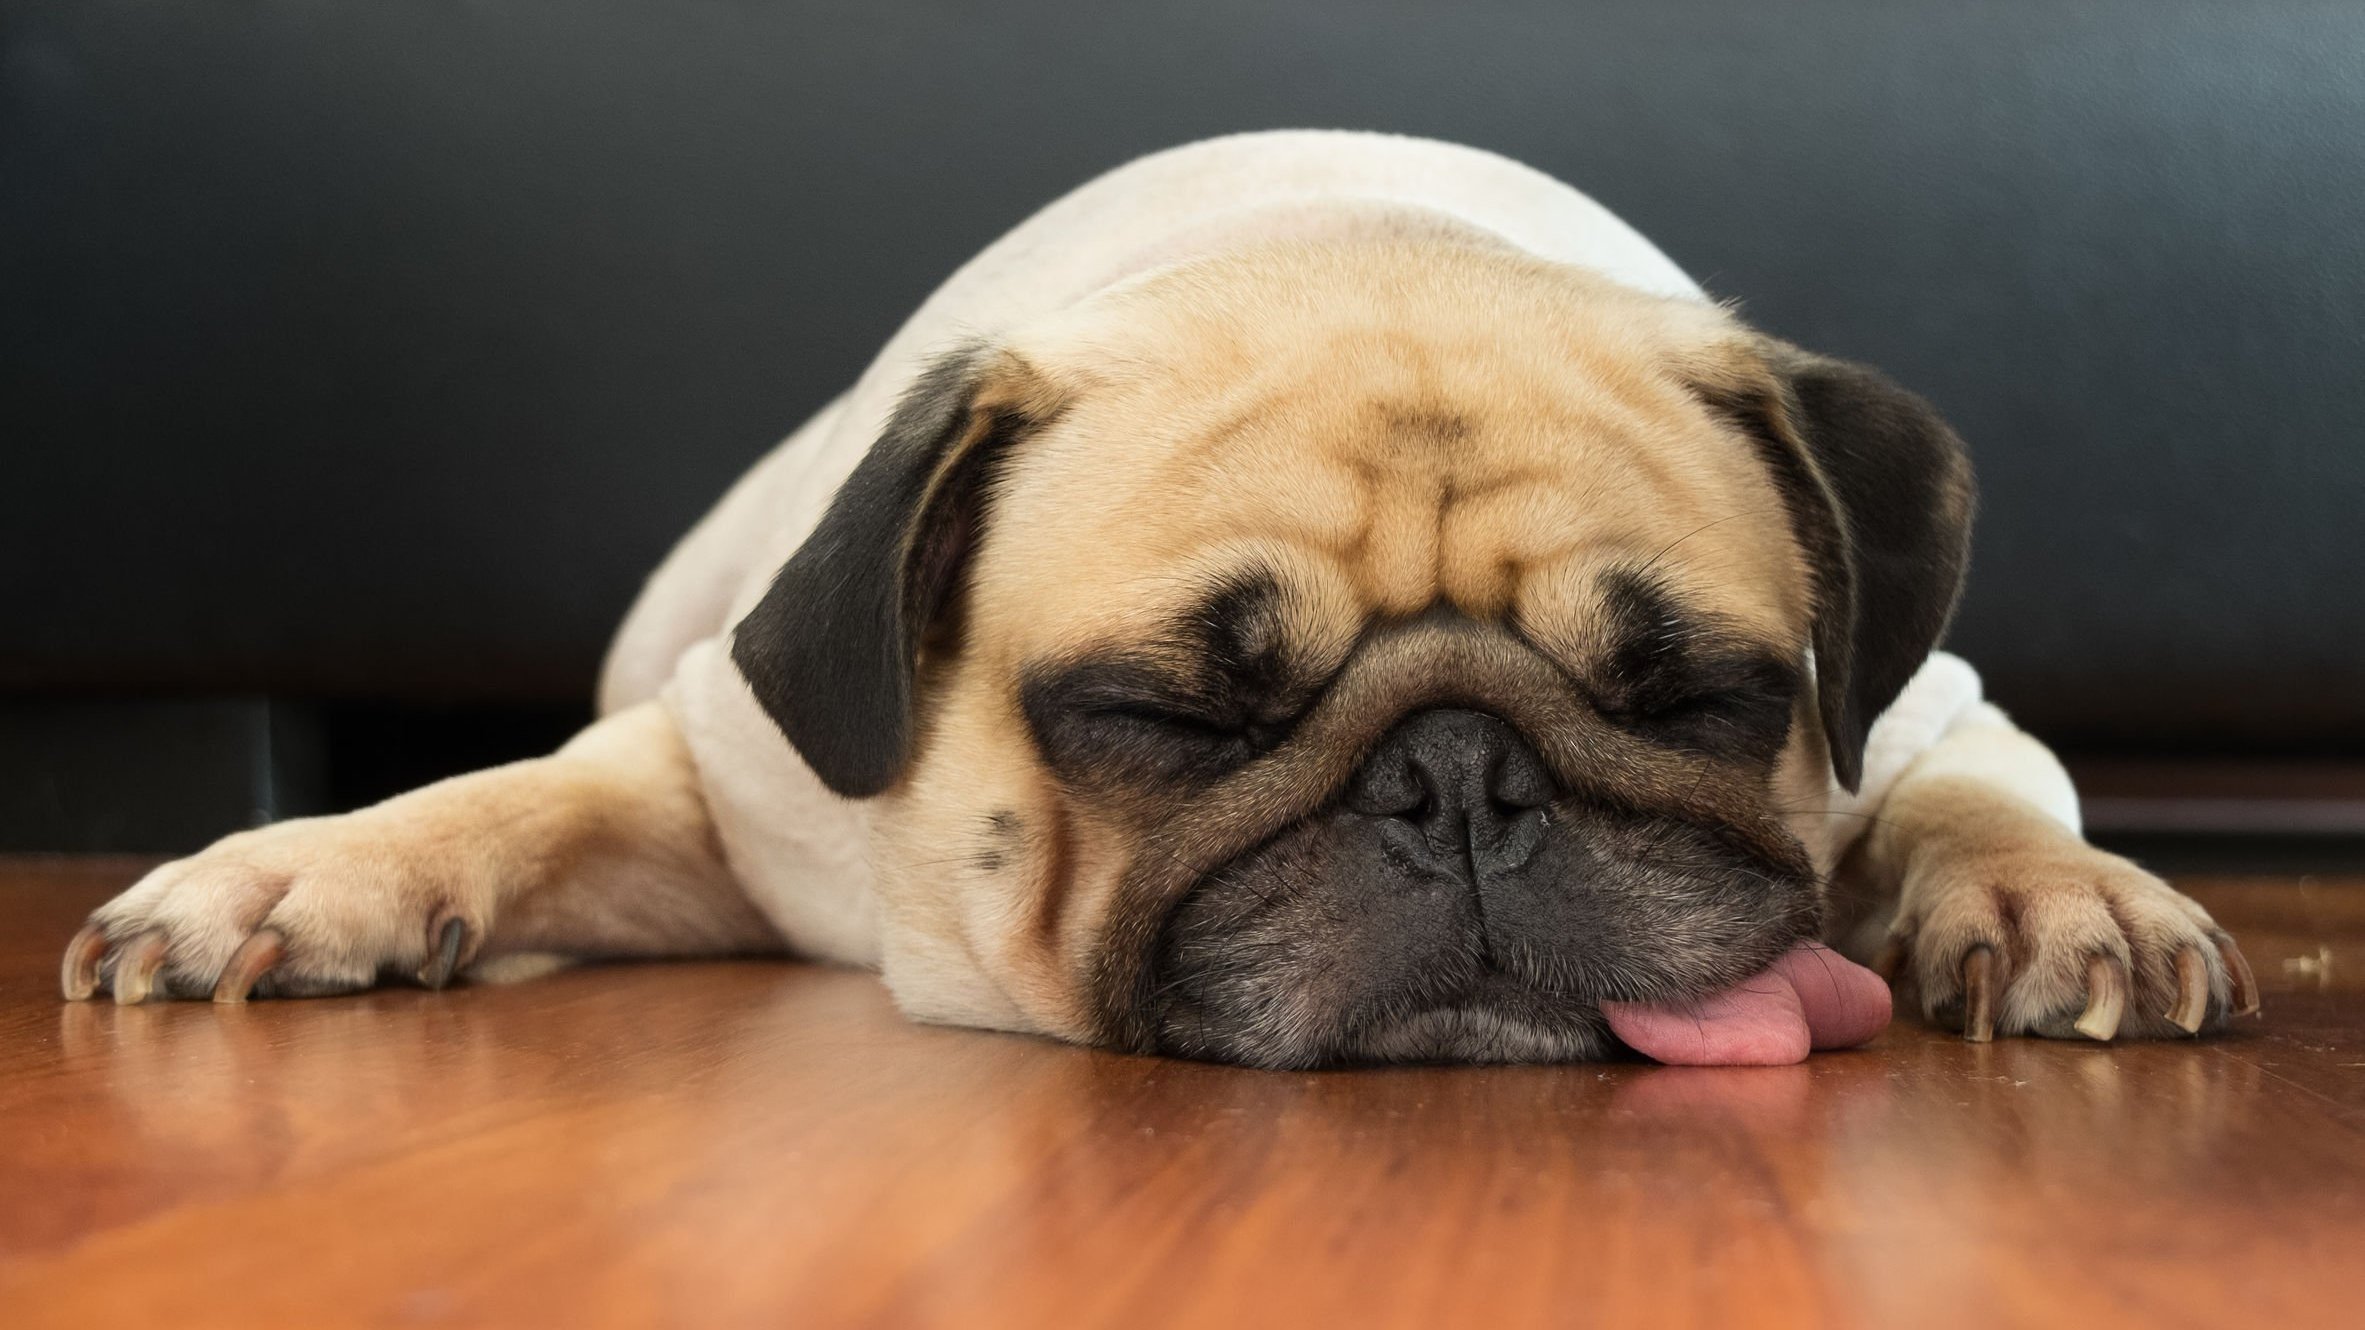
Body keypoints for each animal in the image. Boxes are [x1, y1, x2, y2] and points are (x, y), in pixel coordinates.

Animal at [64, 129, 2260, 1060]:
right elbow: (501, 800)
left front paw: (2062, 902)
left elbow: (1970, 799)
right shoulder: (720, 781)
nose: (1461, 781)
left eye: (1694, 700)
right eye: (1163, 718)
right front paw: (297, 875)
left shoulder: (1943, 702)